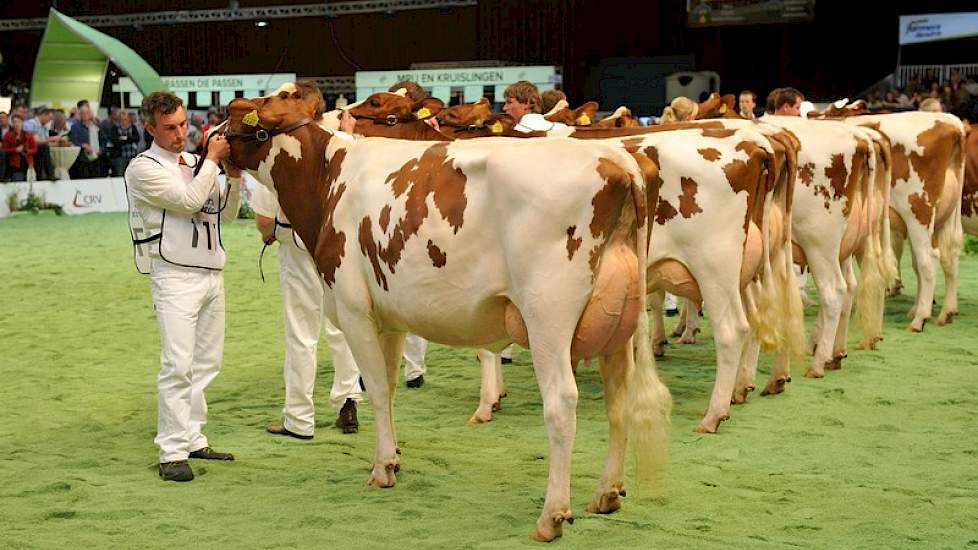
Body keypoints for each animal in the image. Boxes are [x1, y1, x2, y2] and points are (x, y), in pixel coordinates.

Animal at [224, 85, 672, 544]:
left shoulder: (353, 311)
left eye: (241, 114)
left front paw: (382, 469)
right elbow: (390, 386)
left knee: (562, 403)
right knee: (619, 400)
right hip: (619, 324)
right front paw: (394, 456)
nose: (213, 139)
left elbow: (378, 390)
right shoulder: (390, 317)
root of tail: (617, 160)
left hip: (548, 316)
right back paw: (607, 494)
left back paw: (552, 516)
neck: (330, 178)